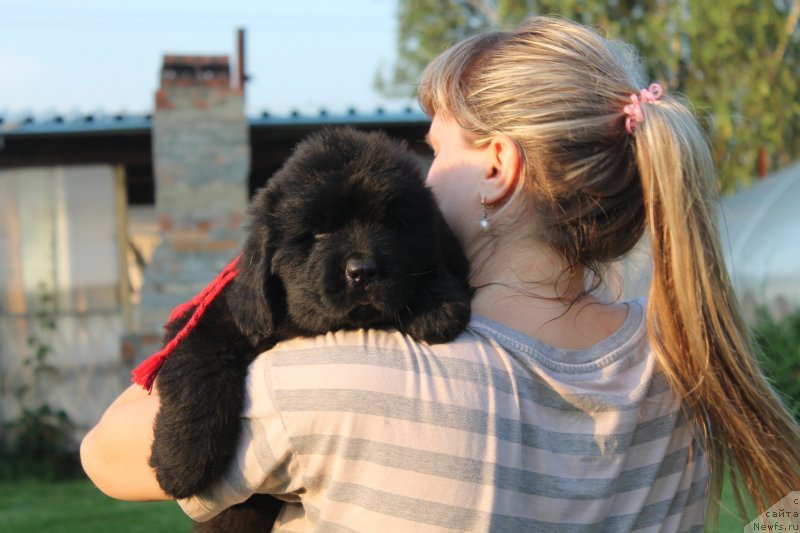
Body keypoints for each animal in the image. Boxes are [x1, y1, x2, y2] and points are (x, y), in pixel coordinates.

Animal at [136, 127, 476, 528]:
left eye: (393, 225)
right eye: (318, 233)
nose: (363, 271)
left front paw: (437, 304)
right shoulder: (217, 316)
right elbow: (197, 367)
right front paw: (180, 464)